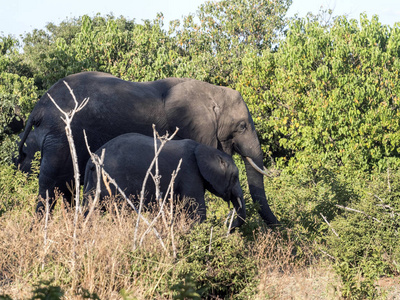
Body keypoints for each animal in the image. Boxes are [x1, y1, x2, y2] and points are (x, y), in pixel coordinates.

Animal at [84, 132, 245, 229]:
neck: (203, 148)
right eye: (235, 177)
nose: (230, 225)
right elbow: (196, 211)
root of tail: (93, 161)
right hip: (114, 180)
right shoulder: (189, 172)